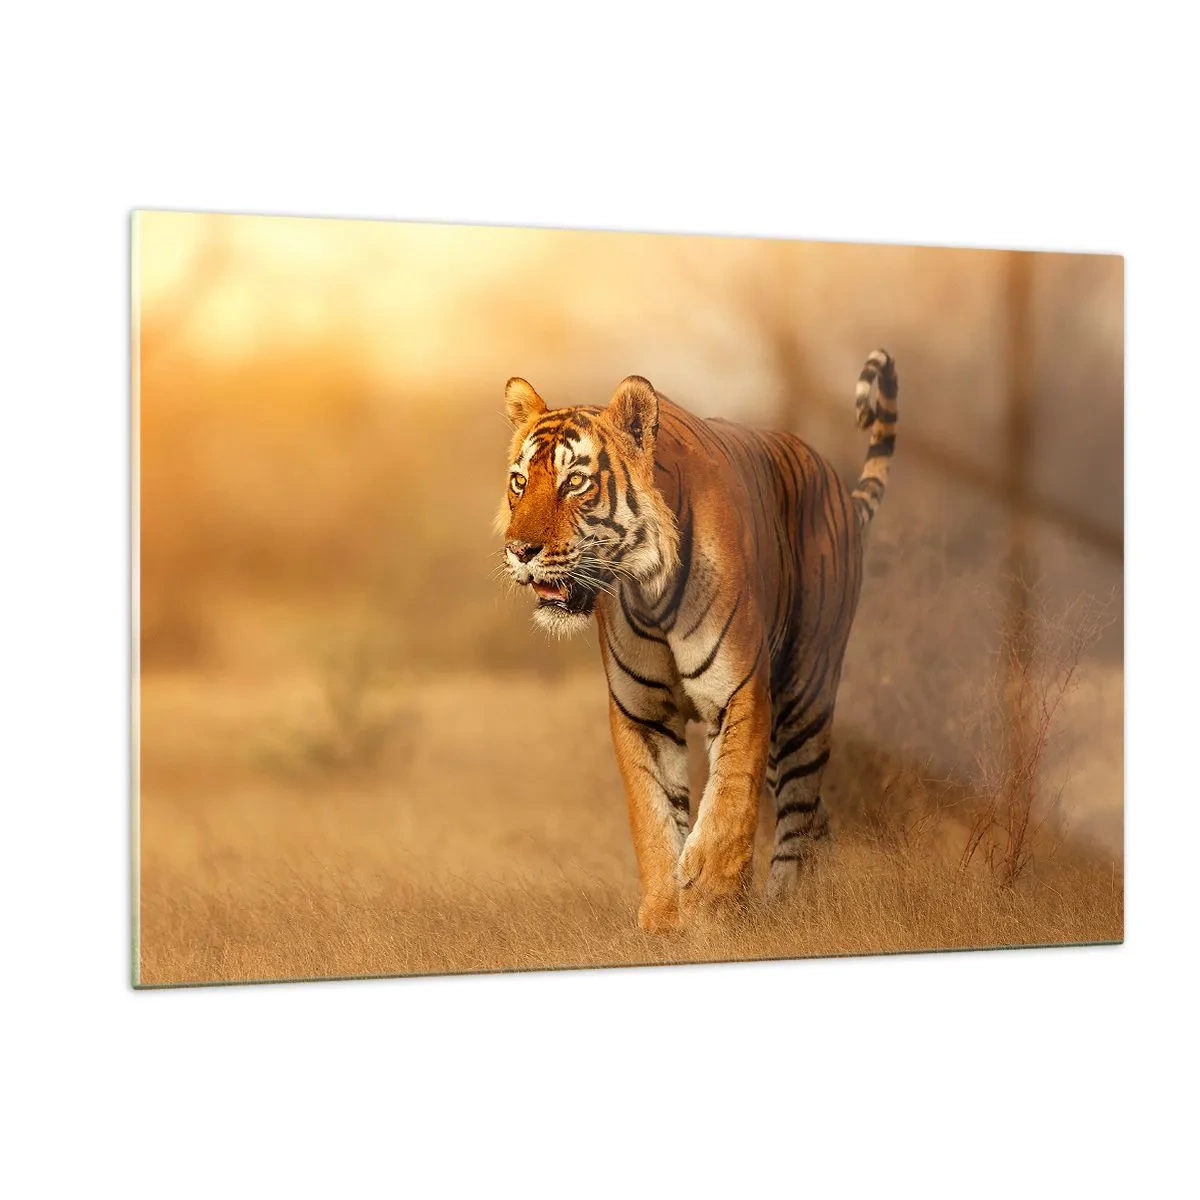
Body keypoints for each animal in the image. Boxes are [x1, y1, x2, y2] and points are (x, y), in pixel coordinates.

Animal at [497, 350, 898, 932]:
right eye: (519, 481)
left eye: (574, 482)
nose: (519, 550)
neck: (648, 588)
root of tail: (837, 485)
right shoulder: (640, 712)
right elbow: (654, 815)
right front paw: (666, 917)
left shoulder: (739, 692)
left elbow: (728, 802)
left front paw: (710, 904)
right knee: (815, 816)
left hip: (804, 696)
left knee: (798, 810)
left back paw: (788, 905)